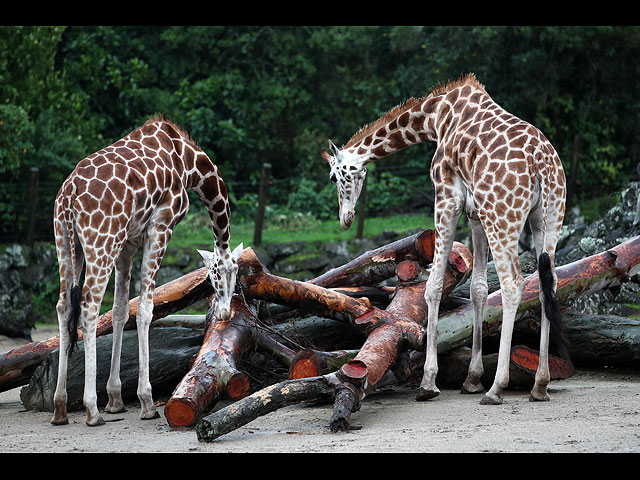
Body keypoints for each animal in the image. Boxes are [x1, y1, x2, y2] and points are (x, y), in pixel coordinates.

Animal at [50, 114, 242, 426]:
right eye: (220, 275)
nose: (225, 312)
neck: (188, 162)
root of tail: (69, 195)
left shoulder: (128, 242)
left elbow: (120, 310)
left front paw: (115, 399)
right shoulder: (160, 227)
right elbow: (144, 309)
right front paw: (147, 401)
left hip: (66, 244)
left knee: (64, 306)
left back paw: (59, 407)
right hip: (101, 243)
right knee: (89, 306)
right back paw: (91, 410)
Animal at [320, 74, 568, 404]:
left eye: (334, 177)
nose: (345, 219)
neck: (435, 116)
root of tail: (541, 162)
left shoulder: (447, 197)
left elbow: (434, 285)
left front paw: (428, 382)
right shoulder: (475, 214)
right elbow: (477, 289)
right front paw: (472, 378)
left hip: (503, 217)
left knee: (513, 283)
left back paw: (496, 388)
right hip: (547, 217)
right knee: (546, 283)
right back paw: (540, 384)